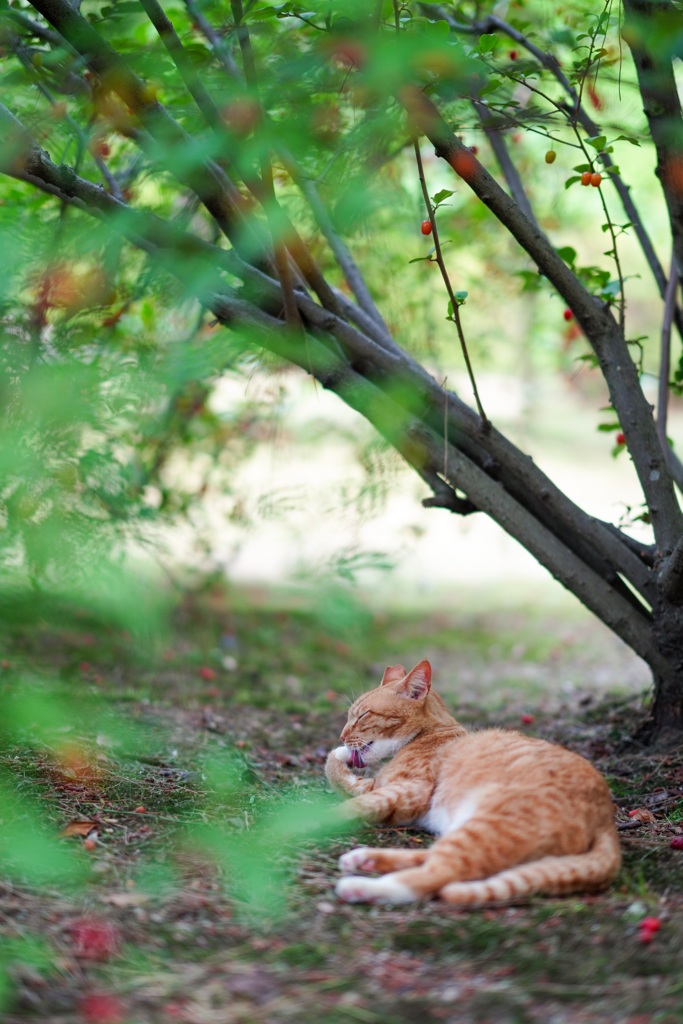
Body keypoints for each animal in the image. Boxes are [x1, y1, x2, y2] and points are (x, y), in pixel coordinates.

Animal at [327, 655, 622, 905]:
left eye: (362, 715)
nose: (342, 736)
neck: (430, 733)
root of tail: (606, 818)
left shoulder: (411, 790)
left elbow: (349, 800)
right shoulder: (382, 787)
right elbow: (336, 774)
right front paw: (340, 755)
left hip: (488, 826)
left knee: (438, 873)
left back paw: (362, 886)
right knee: (433, 857)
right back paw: (365, 859)